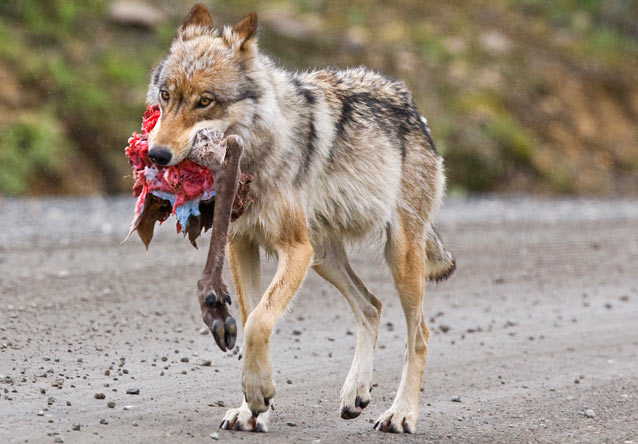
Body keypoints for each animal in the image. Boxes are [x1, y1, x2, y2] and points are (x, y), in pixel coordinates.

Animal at [145, 3, 456, 434]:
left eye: (204, 102)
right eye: (166, 95)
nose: (155, 155)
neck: (257, 154)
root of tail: (410, 104)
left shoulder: (294, 249)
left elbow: (259, 322)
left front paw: (258, 394)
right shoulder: (242, 245)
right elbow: (251, 317)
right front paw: (250, 410)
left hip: (397, 258)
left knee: (420, 332)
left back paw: (401, 413)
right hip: (324, 257)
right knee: (372, 305)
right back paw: (355, 393)